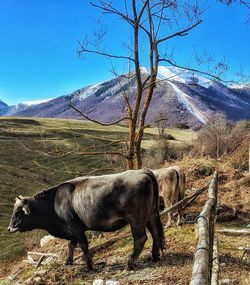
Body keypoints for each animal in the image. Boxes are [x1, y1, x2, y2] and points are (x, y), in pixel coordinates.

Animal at [7, 168, 164, 270]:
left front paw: (89, 265)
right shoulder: (72, 229)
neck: (54, 202)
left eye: (19, 212)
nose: (9, 228)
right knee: (155, 233)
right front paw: (68, 261)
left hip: (136, 219)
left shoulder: (75, 227)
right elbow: (71, 245)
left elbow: (83, 245)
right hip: (151, 215)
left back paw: (130, 263)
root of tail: (141, 171)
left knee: (141, 238)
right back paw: (155, 256)